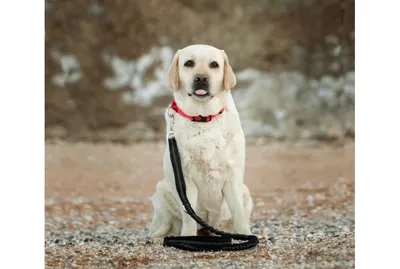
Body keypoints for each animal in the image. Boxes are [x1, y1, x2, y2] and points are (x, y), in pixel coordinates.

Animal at [147, 44, 253, 237]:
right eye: (189, 63)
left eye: (214, 65)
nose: (201, 78)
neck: (203, 118)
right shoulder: (186, 180)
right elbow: (189, 217)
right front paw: (188, 238)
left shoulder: (233, 177)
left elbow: (239, 214)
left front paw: (247, 236)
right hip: (161, 192)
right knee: (163, 227)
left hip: (246, 193)